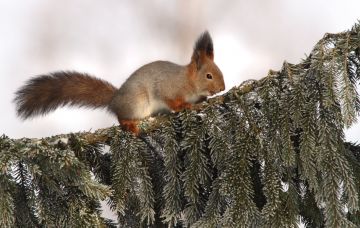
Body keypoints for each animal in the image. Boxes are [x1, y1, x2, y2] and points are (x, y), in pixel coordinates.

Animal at [14, 30, 225, 134]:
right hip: (137, 102)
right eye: (209, 76)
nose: (223, 87)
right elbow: (172, 101)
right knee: (120, 117)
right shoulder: (169, 88)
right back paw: (129, 124)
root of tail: (115, 99)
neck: (188, 81)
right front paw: (184, 106)